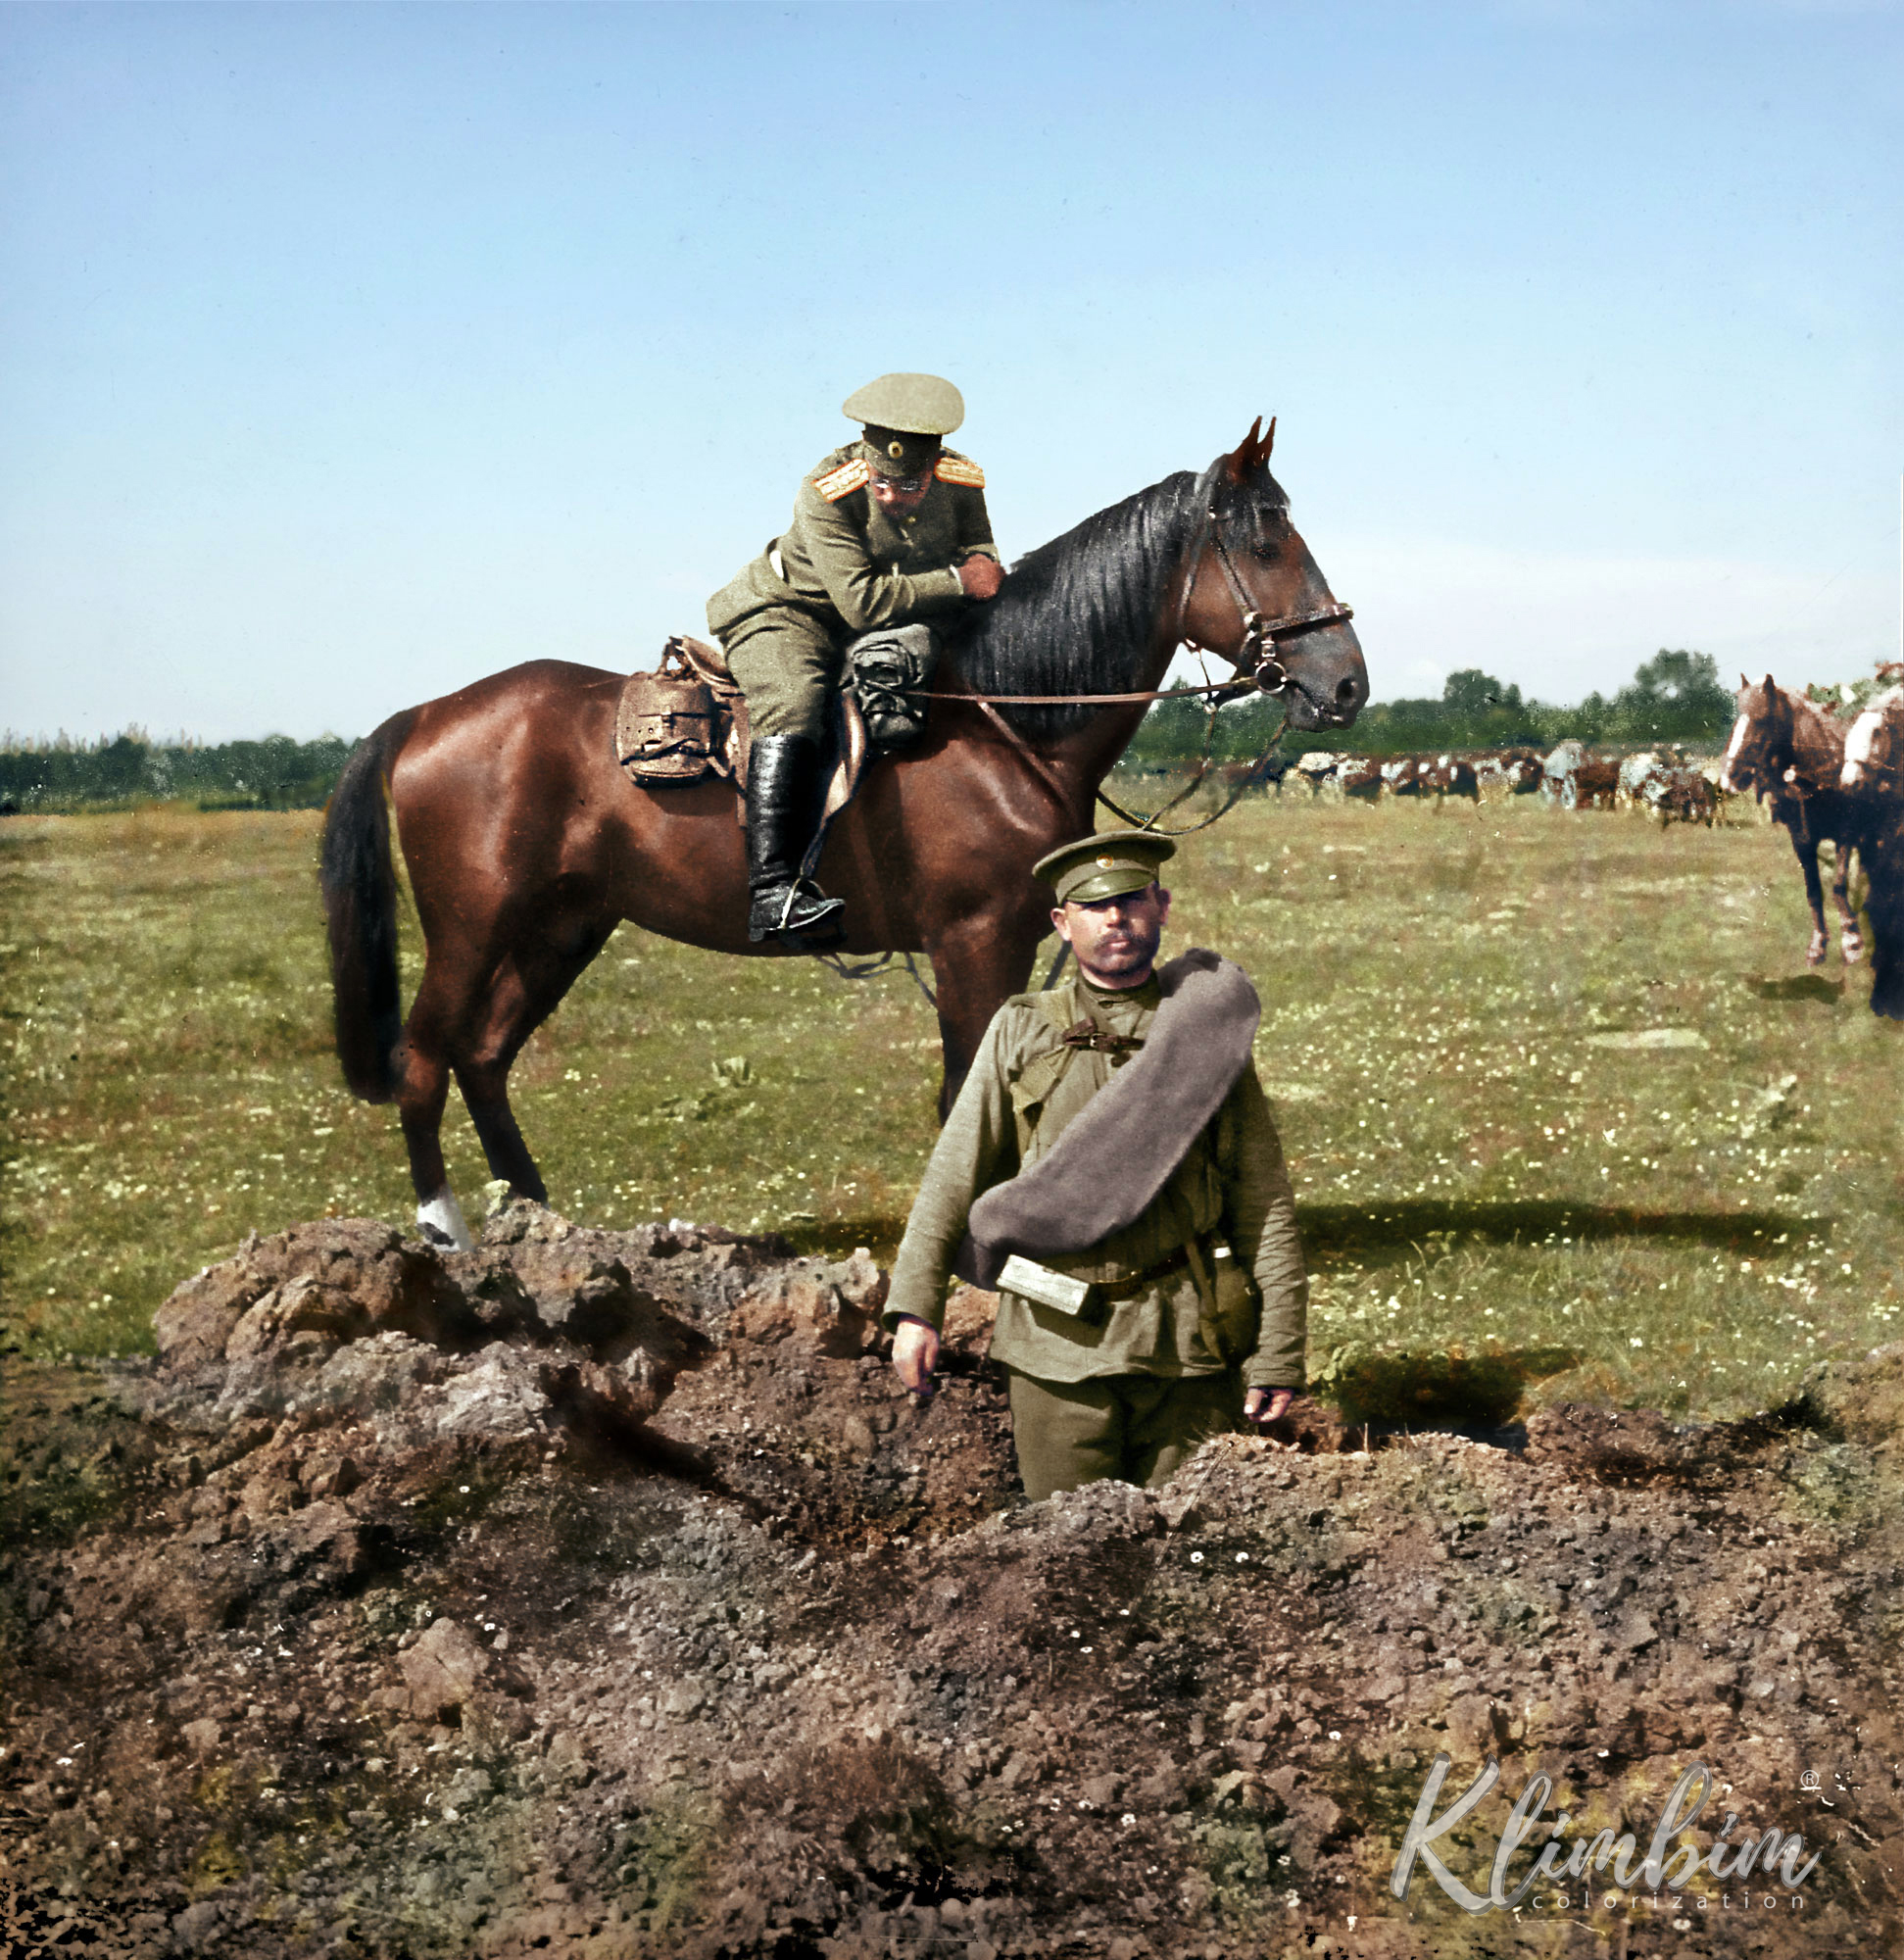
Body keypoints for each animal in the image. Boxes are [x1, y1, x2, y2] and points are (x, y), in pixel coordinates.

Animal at [322, 421, 1371, 1247]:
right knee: (424, 1062)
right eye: (1267, 544)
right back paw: (450, 1236)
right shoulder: (973, 942)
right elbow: (965, 1098)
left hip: (563, 927)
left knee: (484, 1055)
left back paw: (537, 1220)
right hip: (473, 927)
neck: (1001, 720)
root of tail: (423, 715)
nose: (1347, 682)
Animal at [1716, 678, 1865, 968]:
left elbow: (1838, 885)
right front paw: (1817, 946)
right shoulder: (1802, 840)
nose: (1730, 777)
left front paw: (1852, 942)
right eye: (1738, 716)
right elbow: (1814, 891)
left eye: (1763, 719)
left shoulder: (1846, 833)